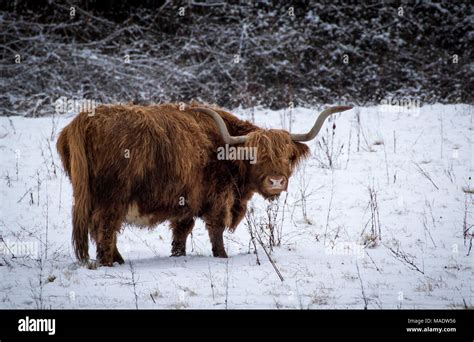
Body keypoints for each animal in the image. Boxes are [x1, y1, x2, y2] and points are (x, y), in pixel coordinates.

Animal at [56, 103, 352, 266]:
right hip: (113, 196)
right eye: (254, 156)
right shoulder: (217, 198)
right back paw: (109, 262)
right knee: (105, 226)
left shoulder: (187, 202)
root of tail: (84, 119)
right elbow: (216, 229)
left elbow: (181, 232)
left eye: (287, 156)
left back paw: (117, 259)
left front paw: (178, 255)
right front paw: (222, 256)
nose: (276, 181)